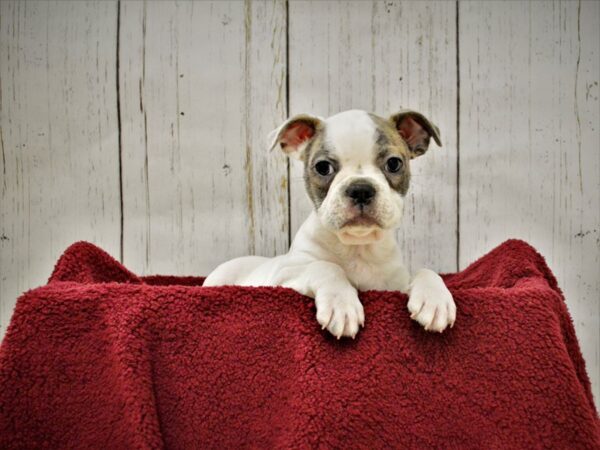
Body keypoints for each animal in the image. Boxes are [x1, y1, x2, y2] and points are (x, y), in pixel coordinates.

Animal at [204, 109, 458, 338]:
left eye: (394, 164)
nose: (361, 189)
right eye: (322, 167)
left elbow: (425, 271)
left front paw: (435, 299)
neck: (357, 246)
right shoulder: (283, 277)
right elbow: (324, 266)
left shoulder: (392, 286)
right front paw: (341, 304)